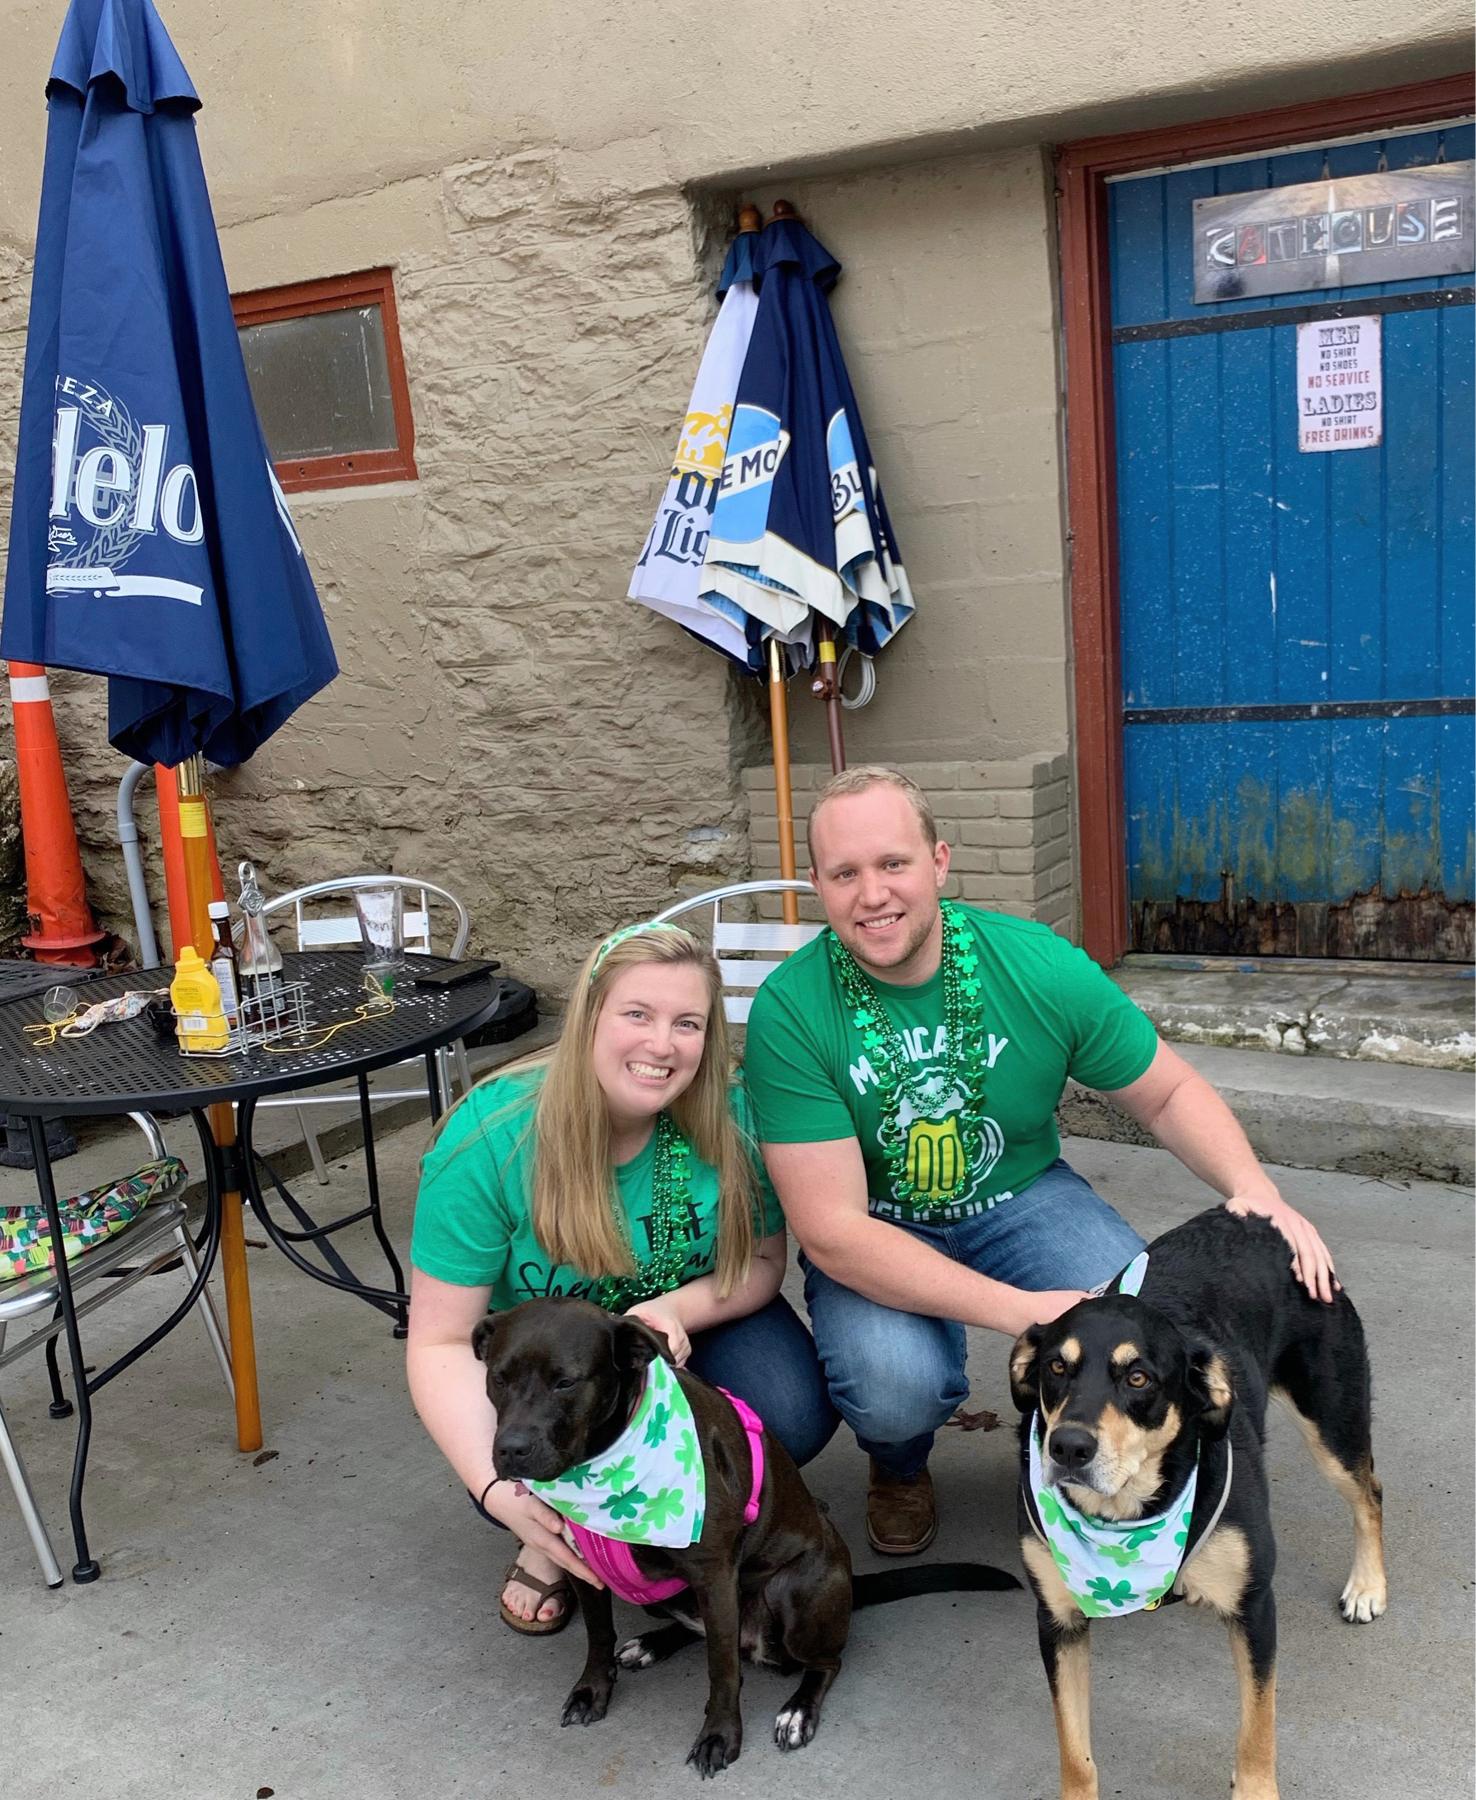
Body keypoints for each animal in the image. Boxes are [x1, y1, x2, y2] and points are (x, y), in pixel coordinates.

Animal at [471, 1296, 1015, 1771]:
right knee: (706, 1630)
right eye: (498, 1379)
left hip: (793, 1593)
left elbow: (723, 1668)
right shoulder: (578, 1560)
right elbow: (599, 1635)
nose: (510, 1450)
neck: (605, 1464)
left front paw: (719, 1737)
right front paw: (592, 1690)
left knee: (822, 1661)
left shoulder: (714, 1573)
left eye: (565, 1382)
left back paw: (798, 1710)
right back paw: (652, 1644)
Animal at [1008, 1202, 1389, 1800]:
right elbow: (1076, 1754)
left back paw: (1368, 1587)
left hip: (1333, 1421)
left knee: (1370, 1492)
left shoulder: (1254, 1608)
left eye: (1139, 1378)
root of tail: (1263, 1217)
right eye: (1056, 1368)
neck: (1128, 1514)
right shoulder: (1059, 1621)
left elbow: (1257, 1733)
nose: (1067, 1447)